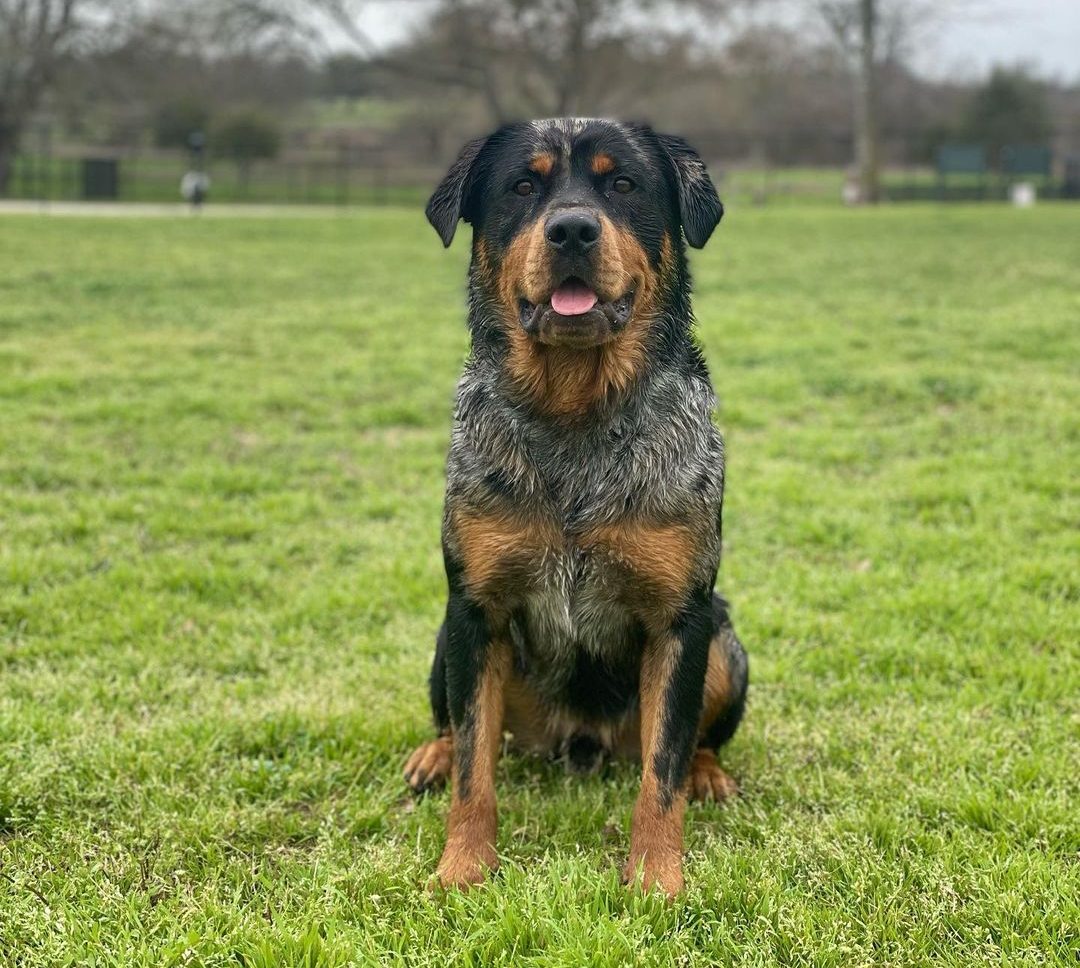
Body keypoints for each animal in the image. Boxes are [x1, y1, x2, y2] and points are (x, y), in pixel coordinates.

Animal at [401, 117, 747, 894]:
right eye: (522, 187)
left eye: (622, 183)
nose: (572, 229)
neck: (574, 417)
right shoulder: (474, 611)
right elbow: (474, 772)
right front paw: (462, 868)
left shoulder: (682, 621)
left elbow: (663, 771)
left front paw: (655, 877)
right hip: (446, 641)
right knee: (460, 731)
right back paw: (432, 754)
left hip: (724, 643)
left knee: (692, 742)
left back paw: (710, 772)